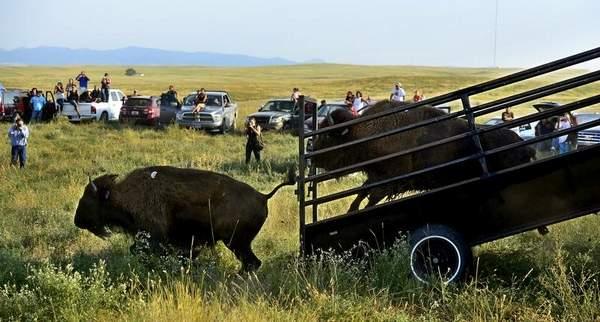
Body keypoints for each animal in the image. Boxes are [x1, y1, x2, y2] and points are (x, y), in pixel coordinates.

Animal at [75, 166, 296, 272]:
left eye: (88, 198)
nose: (77, 221)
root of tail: (263, 196)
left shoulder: (154, 238)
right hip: (238, 244)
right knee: (252, 263)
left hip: (236, 243)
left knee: (252, 263)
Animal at [314, 100, 536, 211]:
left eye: (326, 135)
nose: (314, 156)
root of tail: (525, 146)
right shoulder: (375, 177)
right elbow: (360, 196)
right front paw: (352, 209)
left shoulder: (389, 182)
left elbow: (369, 200)